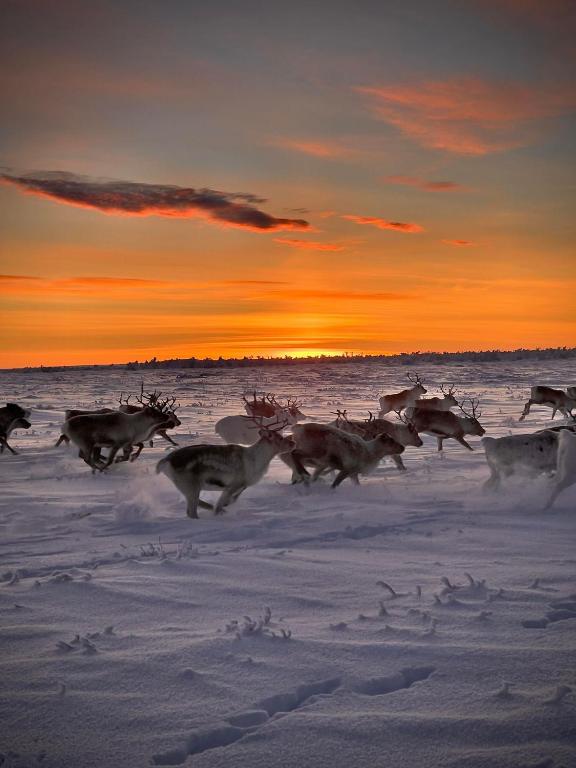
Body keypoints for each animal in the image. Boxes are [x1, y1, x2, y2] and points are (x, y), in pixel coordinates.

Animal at [156, 417, 295, 518]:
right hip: (191, 487)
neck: (257, 460)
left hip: (187, 488)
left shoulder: (241, 486)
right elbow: (221, 503)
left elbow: (231, 500)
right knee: (191, 512)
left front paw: (224, 508)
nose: (293, 443)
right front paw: (219, 512)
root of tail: (165, 461)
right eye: (280, 438)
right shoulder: (233, 485)